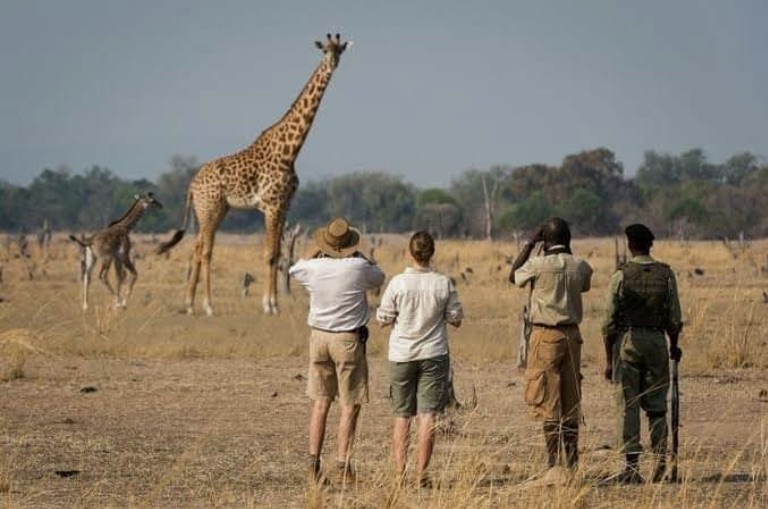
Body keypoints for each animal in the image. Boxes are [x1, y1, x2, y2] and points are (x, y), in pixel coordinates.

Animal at [157, 33, 349, 316]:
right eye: (325, 50)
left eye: (340, 51)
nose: (333, 63)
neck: (290, 150)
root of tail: (192, 185)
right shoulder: (271, 206)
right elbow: (269, 254)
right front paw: (269, 306)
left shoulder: (284, 206)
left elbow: (278, 253)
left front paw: (274, 304)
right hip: (209, 208)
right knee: (206, 250)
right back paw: (208, 305)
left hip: (216, 210)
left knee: (197, 247)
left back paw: (190, 304)